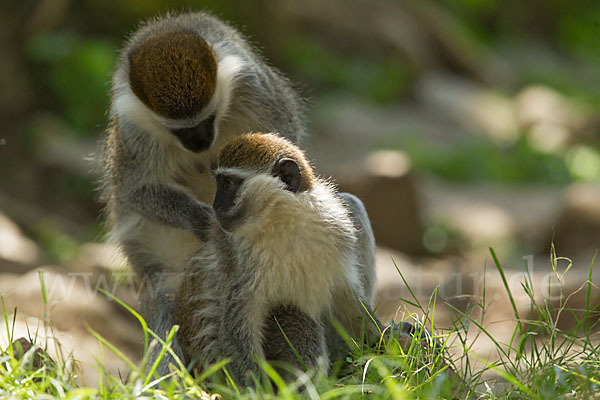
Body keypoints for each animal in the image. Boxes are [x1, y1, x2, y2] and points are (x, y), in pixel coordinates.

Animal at [100, 11, 304, 372]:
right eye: (181, 131)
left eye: (207, 120)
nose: (201, 142)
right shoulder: (132, 129)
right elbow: (133, 190)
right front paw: (201, 220)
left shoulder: (254, 87)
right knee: (166, 297)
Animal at [175, 134, 380, 384]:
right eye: (219, 183)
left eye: (229, 184)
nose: (215, 206)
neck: (285, 222)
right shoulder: (240, 262)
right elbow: (236, 330)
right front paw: (255, 389)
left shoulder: (338, 233)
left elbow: (346, 297)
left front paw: (386, 338)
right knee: (293, 312)